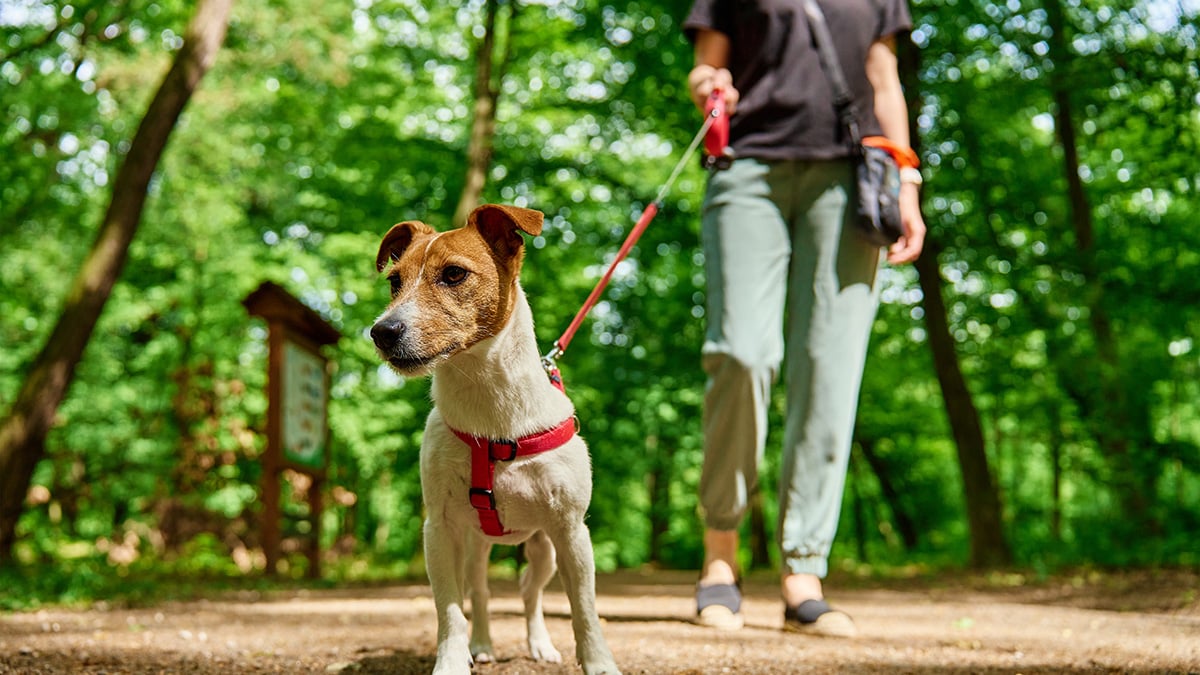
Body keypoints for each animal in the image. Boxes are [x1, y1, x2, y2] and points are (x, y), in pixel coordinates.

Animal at [369, 205, 624, 672]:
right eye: (394, 281)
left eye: (453, 274)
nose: (382, 332)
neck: (491, 412)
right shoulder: (439, 530)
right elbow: (450, 610)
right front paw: (452, 661)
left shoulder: (572, 531)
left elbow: (585, 608)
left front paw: (599, 662)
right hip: (475, 546)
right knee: (481, 591)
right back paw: (483, 644)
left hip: (544, 549)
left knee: (529, 591)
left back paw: (539, 644)